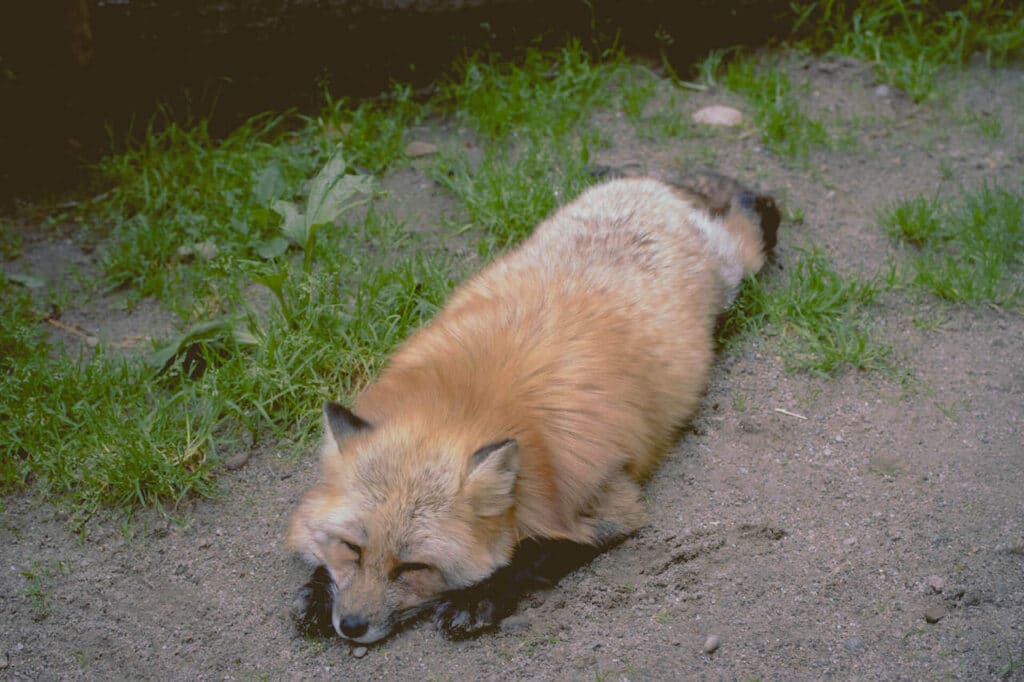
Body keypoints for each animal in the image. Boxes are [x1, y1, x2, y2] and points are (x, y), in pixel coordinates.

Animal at [287, 173, 780, 644]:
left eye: (411, 568)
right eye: (352, 548)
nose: (350, 625)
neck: (466, 406)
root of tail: (646, 188)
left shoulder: (609, 503)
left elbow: (534, 554)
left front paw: (478, 597)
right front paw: (318, 592)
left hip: (735, 272)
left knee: (750, 226)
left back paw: (756, 201)